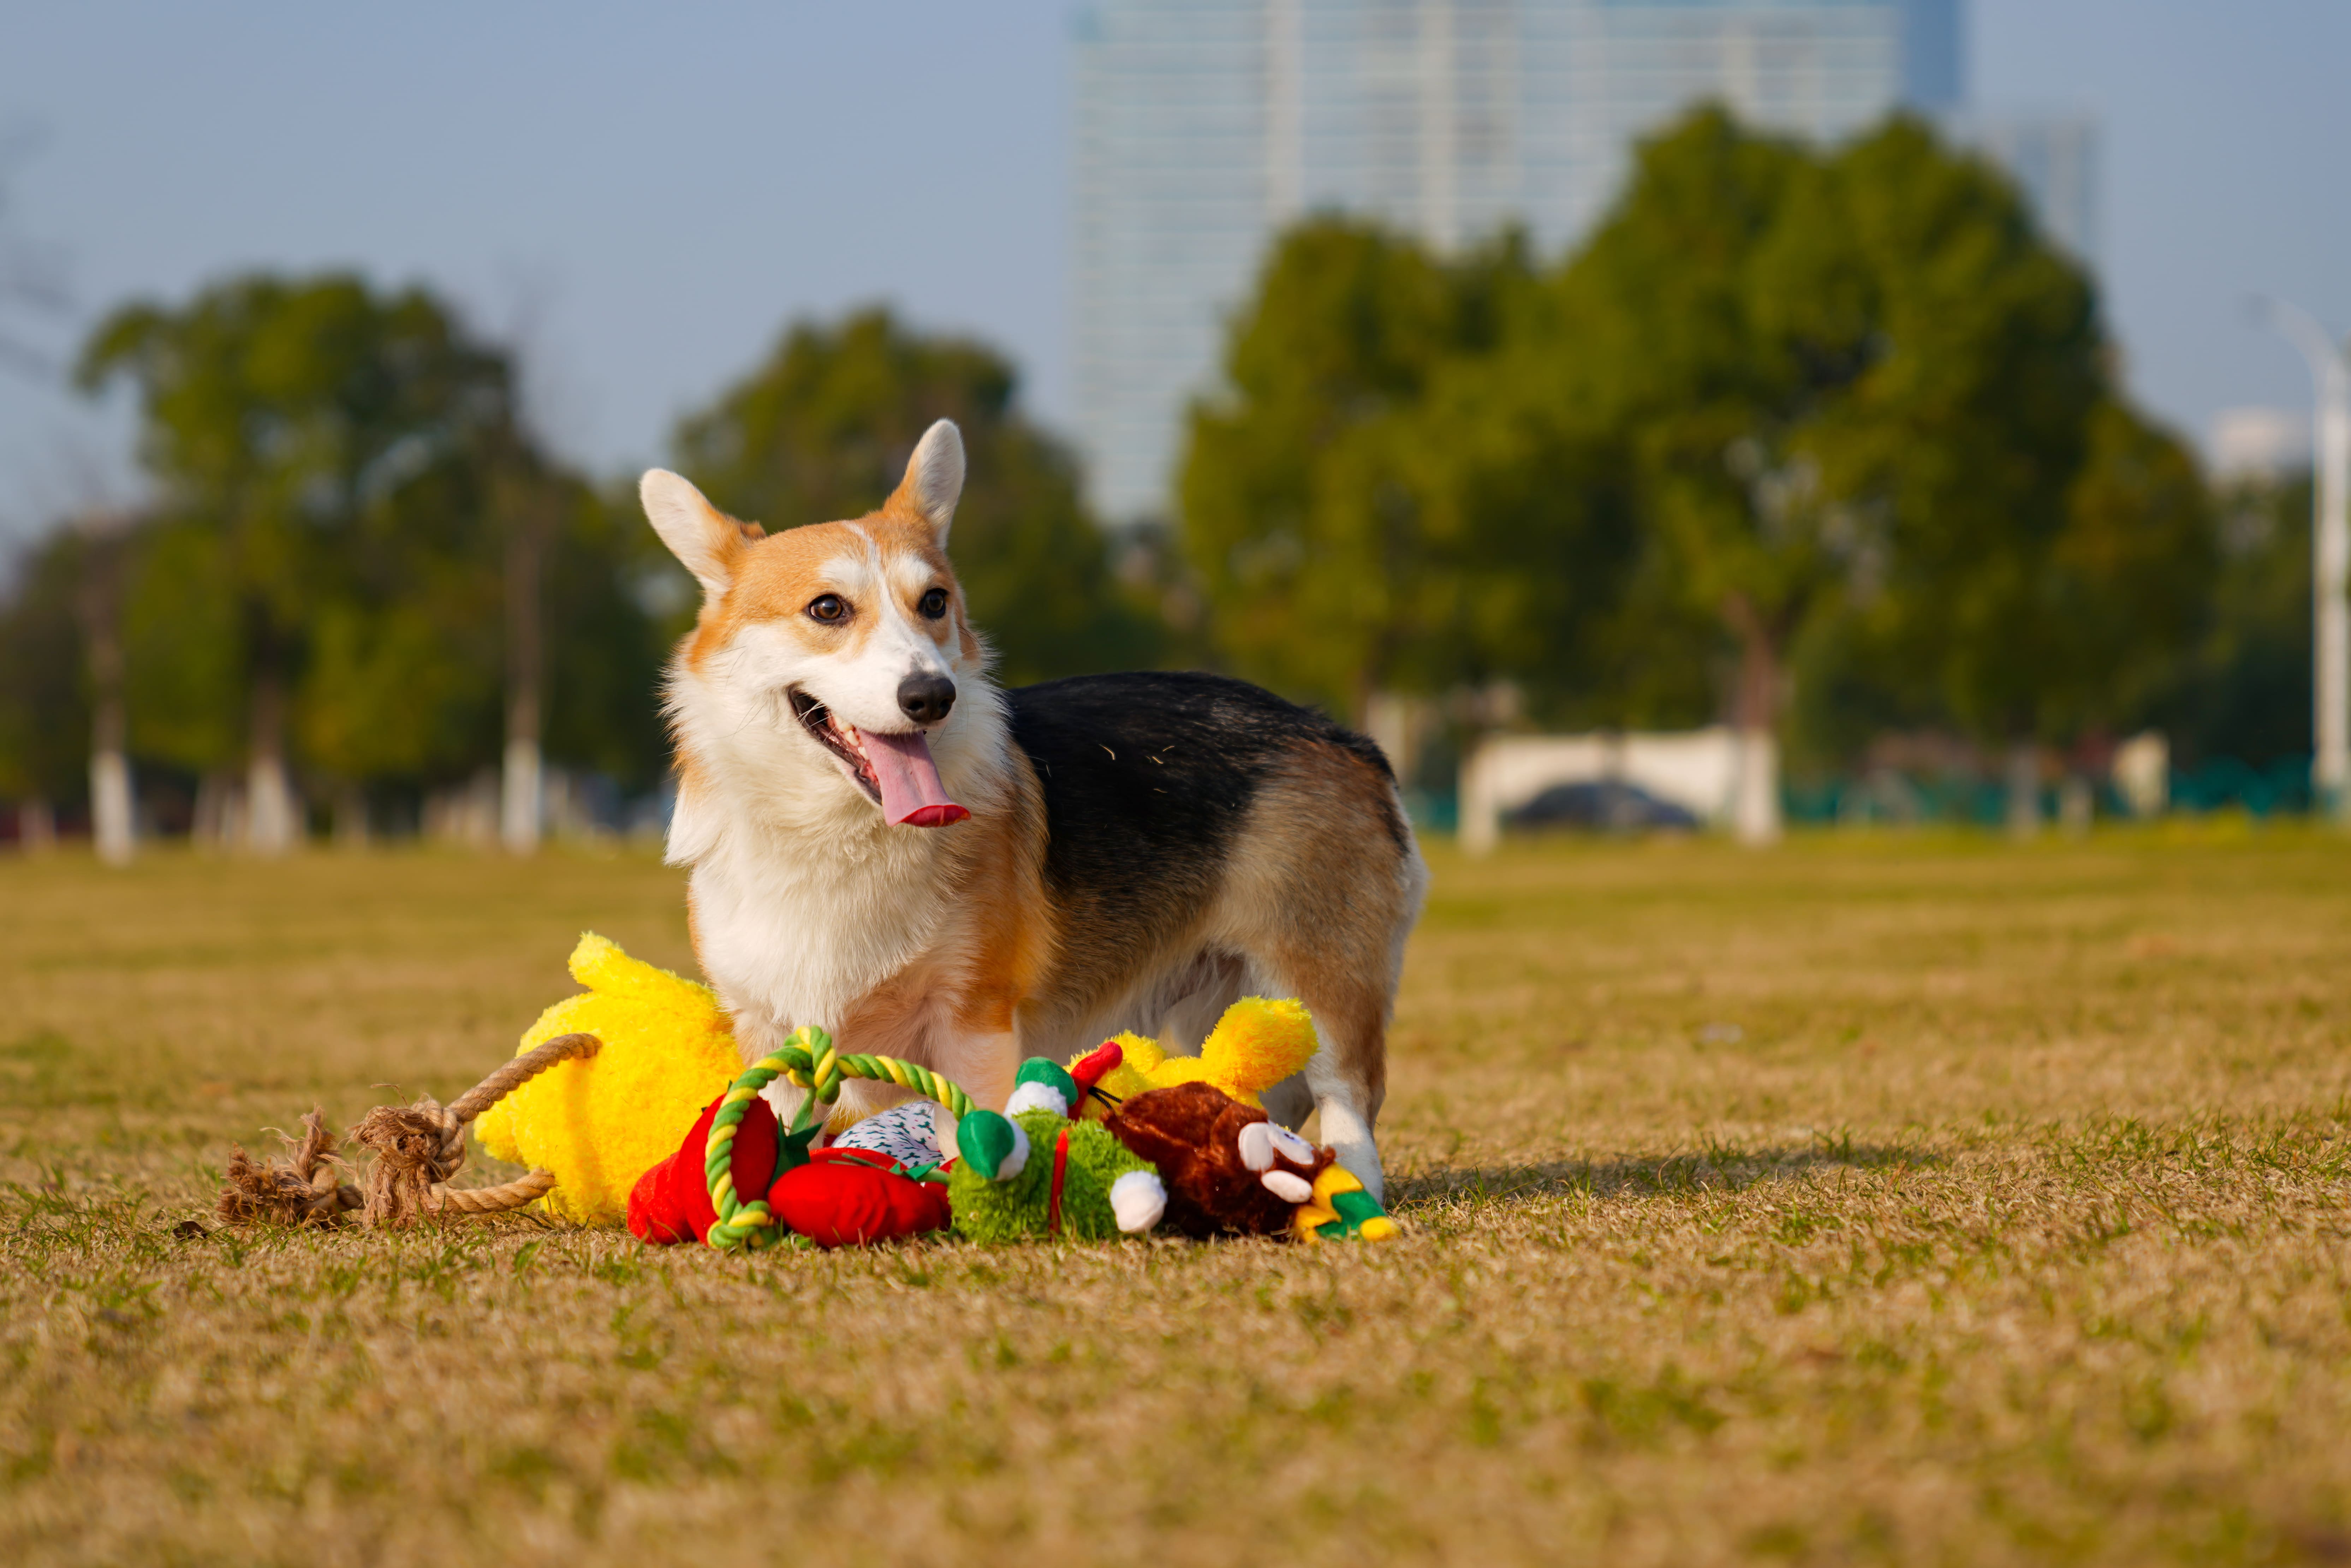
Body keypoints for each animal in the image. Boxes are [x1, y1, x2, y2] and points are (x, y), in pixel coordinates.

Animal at [635, 423, 1420, 1194]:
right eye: (826, 609)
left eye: (934, 602)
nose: (932, 696)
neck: (834, 832)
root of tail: (1340, 734)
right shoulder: (771, 1032)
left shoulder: (973, 1020)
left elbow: (970, 1131)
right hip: (1219, 1004)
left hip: (1318, 978)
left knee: (1346, 1098)